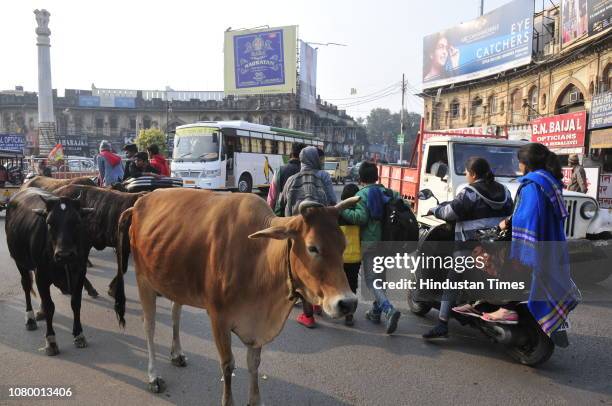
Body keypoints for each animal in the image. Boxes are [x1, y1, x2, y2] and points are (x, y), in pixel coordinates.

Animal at [5, 188, 93, 356]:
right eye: (50, 223)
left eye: (77, 222)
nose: (64, 254)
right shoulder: (42, 275)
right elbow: (50, 306)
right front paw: (51, 341)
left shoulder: (80, 272)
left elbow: (76, 303)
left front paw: (79, 334)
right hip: (20, 261)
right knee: (26, 286)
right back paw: (30, 318)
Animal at [113, 189, 358, 404]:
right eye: (312, 247)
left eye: (344, 245)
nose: (348, 302)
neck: (258, 258)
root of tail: (139, 202)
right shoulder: (218, 318)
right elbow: (228, 365)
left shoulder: (256, 325)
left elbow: (254, 363)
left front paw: (255, 401)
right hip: (143, 279)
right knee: (149, 326)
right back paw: (153, 376)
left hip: (175, 280)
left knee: (175, 315)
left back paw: (177, 354)